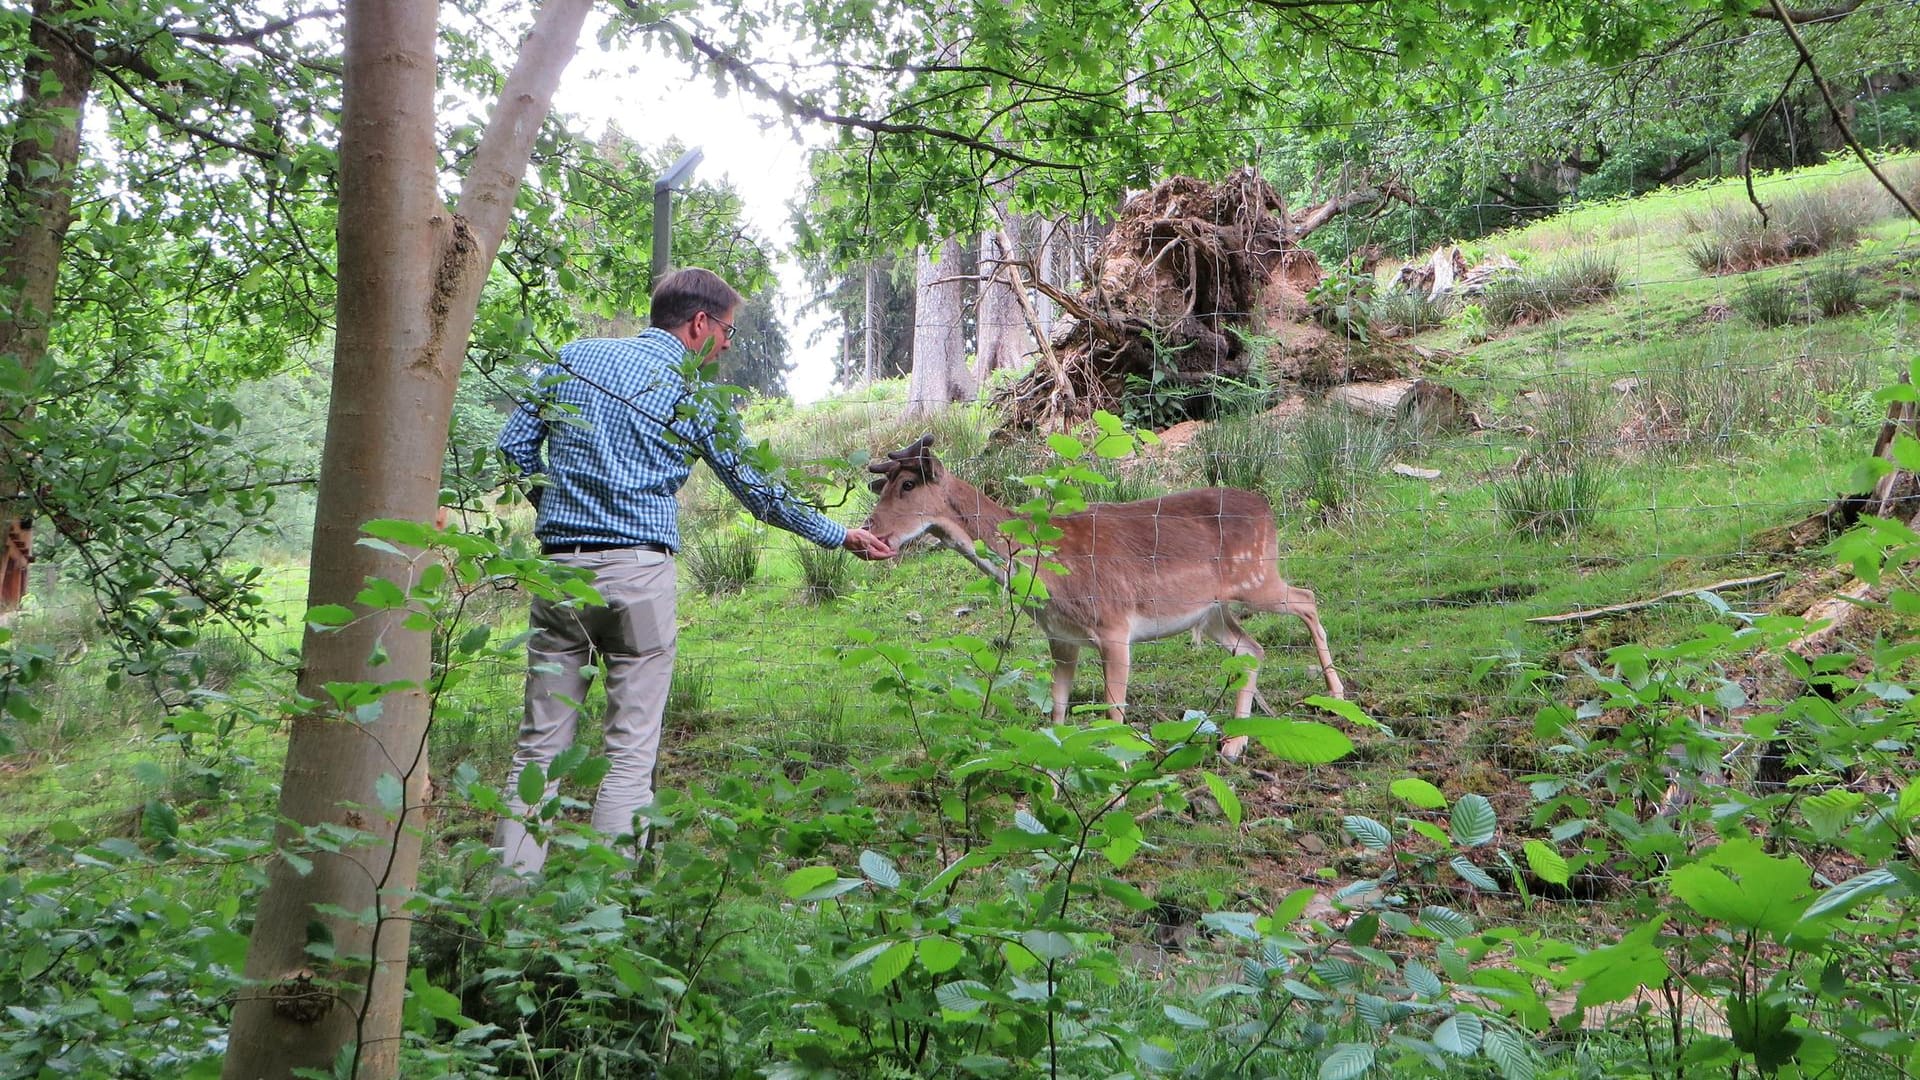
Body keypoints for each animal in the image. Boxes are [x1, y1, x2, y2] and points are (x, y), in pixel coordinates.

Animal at [864, 430, 1344, 757]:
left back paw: (1336, 696)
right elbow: (1057, 716)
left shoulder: (1115, 626)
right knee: (1253, 648)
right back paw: (1234, 743)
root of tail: (1268, 508)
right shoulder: (1061, 638)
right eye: (884, 485)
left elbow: (1114, 714)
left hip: (1257, 578)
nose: (872, 531)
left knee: (1307, 597)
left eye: (908, 485)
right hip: (1210, 612)